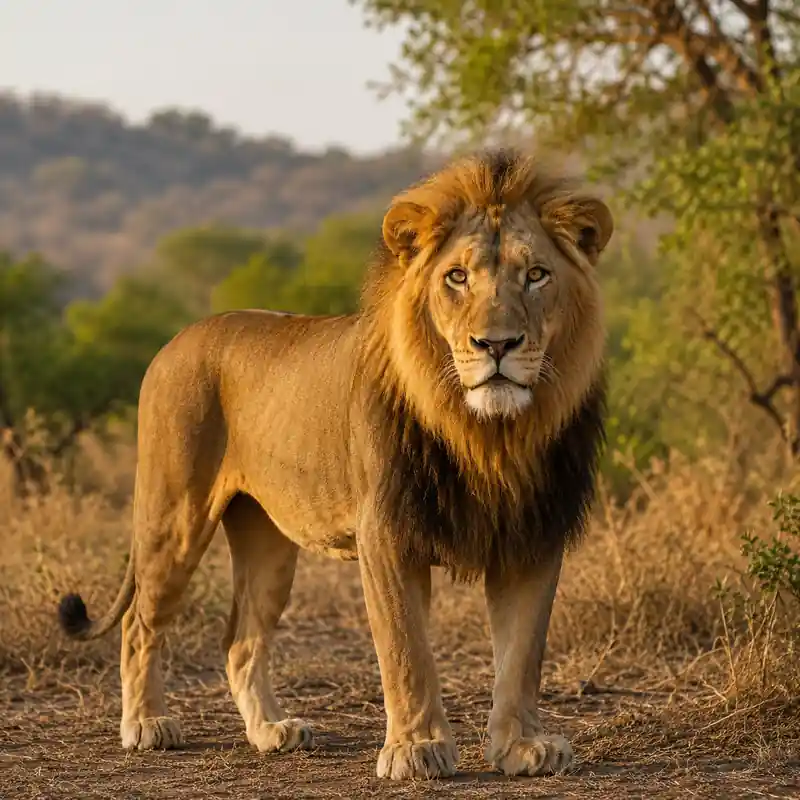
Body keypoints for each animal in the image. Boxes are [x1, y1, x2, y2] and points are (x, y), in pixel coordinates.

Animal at [58, 147, 613, 781]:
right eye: (457, 277)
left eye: (536, 275)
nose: (496, 345)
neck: (490, 436)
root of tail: (176, 339)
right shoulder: (387, 534)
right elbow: (406, 649)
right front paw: (416, 749)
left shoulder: (533, 533)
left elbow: (522, 656)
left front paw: (523, 746)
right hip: (173, 515)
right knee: (138, 623)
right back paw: (146, 724)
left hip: (267, 543)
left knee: (241, 640)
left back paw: (271, 732)